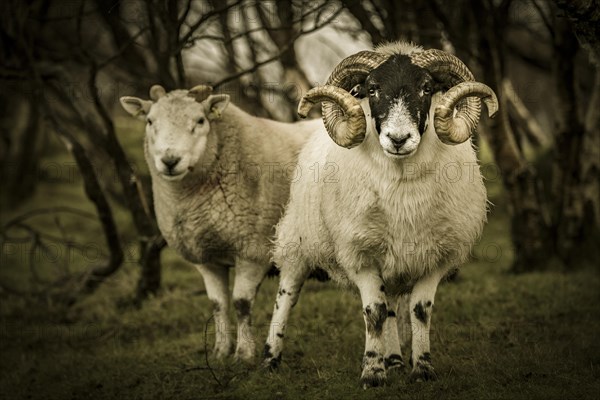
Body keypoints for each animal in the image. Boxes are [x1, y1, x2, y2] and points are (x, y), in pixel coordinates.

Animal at [119, 85, 322, 362]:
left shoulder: (253, 250)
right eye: (150, 121)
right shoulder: (206, 259)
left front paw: (244, 353)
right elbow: (218, 304)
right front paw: (220, 352)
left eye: (200, 121)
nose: (170, 161)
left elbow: (241, 303)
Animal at [262, 41, 496, 388]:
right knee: (286, 295)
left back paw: (396, 359)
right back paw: (270, 358)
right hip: (298, 241)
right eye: (372, 89)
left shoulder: (435, 258)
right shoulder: (360, 255)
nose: (398, 139)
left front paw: (421, 368)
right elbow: (373, 312)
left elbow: (419, 312)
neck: (402, 189)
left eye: (427, 88)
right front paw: (372, 373)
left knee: (393, 307)